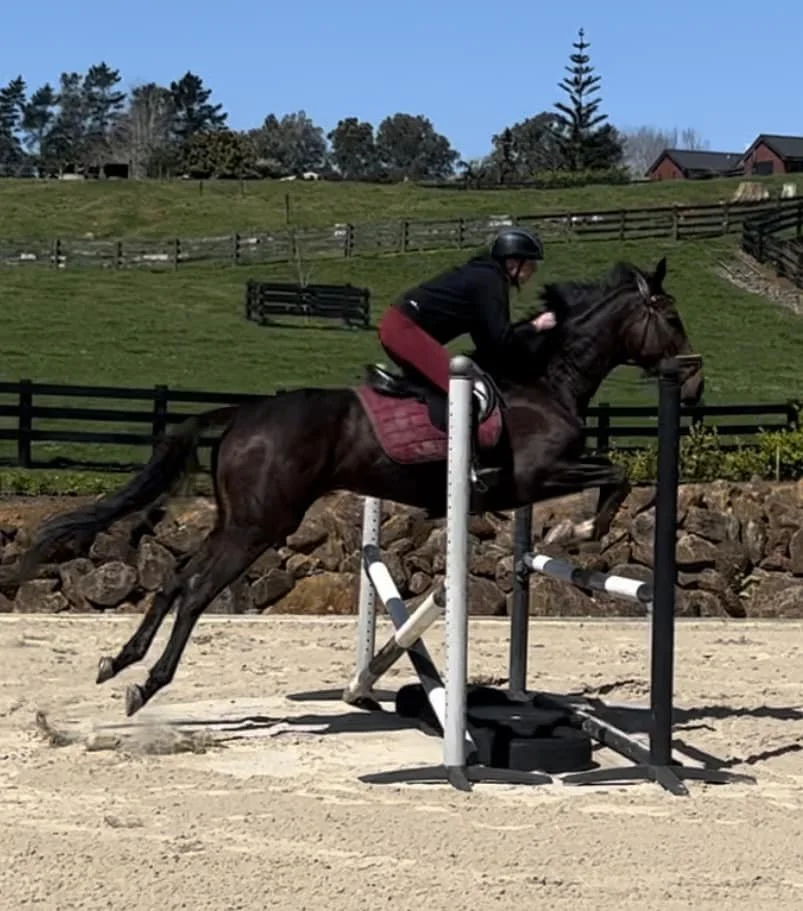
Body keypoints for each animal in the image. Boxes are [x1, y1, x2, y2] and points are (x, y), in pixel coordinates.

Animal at [18, 255, 703, 717]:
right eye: (670, 316)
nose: (694, 385)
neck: (549, 379)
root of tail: (244, 414)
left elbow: (612, 475)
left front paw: (571, 531)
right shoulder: (535, 475)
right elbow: (616, 475)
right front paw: (578, 529)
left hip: (236, 519)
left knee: (173, 580)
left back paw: (120, 661)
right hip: (262, 525)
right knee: (194, 592)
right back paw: (148, 682)